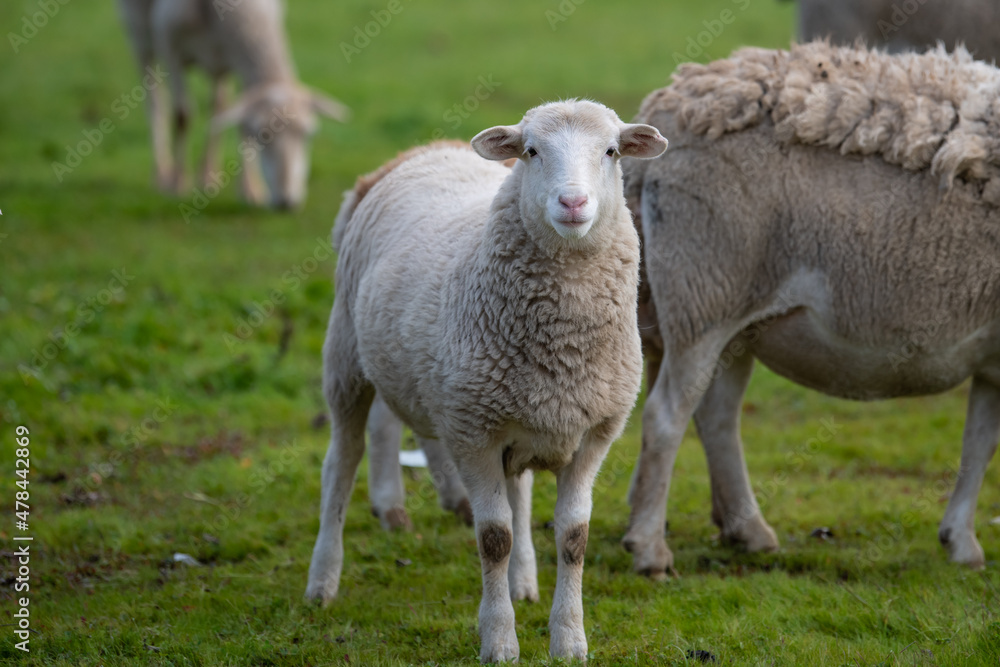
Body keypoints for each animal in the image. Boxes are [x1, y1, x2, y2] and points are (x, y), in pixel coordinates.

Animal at [117, 0, 350, 207]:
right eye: (262, 136)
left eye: (308, 135)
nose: (287, 202)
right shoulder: (170, 47)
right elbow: (183, 115)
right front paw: (178, 183)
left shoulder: (236, 61)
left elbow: (240, 122)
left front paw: (251, 191)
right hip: (138, 33)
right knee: (155, 103)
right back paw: (162, 174)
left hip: (220, 67)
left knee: (218, 107)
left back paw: (208, 175)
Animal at [304, 100, 664, 664]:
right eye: (531, 151)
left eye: (611, 151)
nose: (573, 201)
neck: (562, 342)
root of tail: (426, 149)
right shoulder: (473, 432)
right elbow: (494, 537)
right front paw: (499, 641)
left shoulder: (591, 435)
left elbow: (573, 537)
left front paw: (569, 639)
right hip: (345, 358)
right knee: (340, 463)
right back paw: (323, 581)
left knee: (508, 484)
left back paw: (522, 582)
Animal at [620, 41, 1000, 580]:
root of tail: (667, 111)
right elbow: (982, 446)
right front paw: (963, 543)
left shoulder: (992, 358)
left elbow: (979, 443)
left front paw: (959, 541)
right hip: (706, 296)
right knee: (666, 416)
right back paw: (651, 550)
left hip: (733, 319)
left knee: (716, 416)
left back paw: (747, 530)